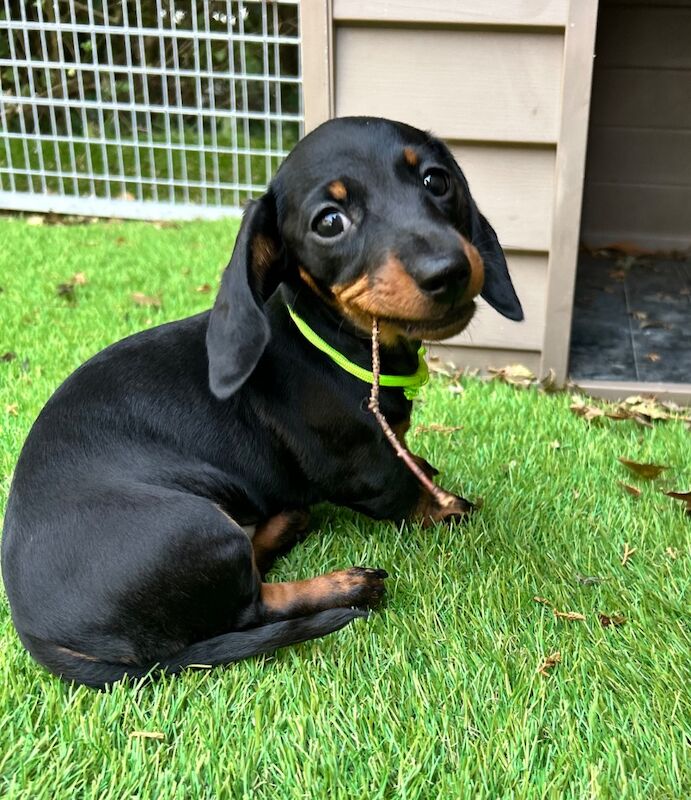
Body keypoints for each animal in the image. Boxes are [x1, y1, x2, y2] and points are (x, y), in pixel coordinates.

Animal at [0, 117, 520, 688]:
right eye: (330, 221)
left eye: (436, 181)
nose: (447, 270)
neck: (332, 342)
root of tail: (41, 638)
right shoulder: (364, 471)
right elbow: (406, 493)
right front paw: (448, 506)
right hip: (199, 528)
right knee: (251, 608)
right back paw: (343, 584)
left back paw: (283, 523)